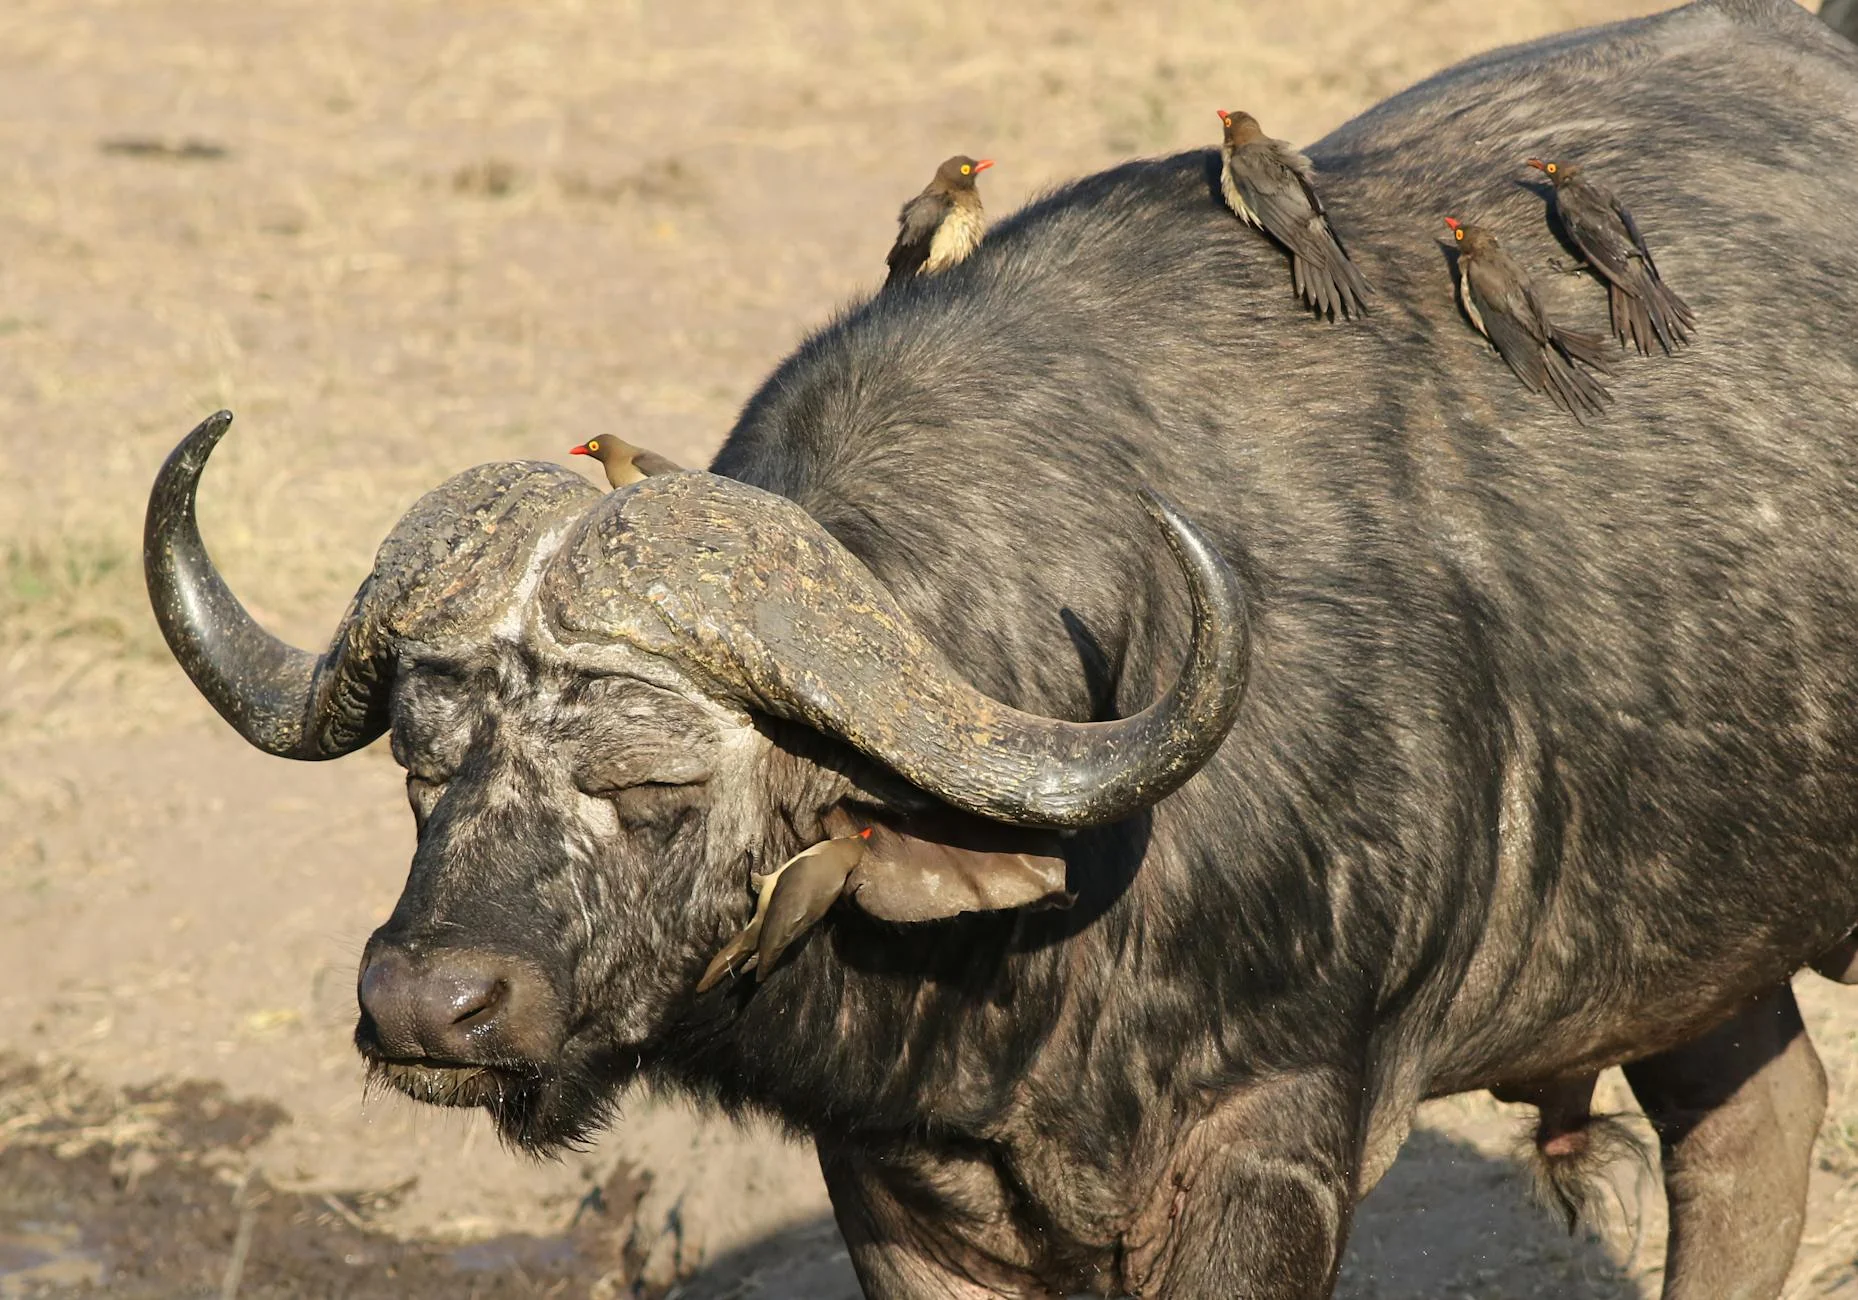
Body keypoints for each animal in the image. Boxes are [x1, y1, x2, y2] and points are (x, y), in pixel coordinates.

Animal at [145, 1, 1858, 1296]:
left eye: (653, 789)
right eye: (420, 770)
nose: (425, 1008)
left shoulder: (1270, 1147)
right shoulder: (901, 1184)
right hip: (1695, 948)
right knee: (1752, 1127)